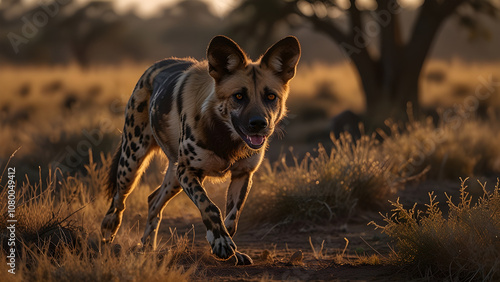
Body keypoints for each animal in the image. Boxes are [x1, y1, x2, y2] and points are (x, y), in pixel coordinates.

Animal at [99, 35, 298, 264]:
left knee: (153, 201)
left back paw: (148, 248)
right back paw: (109, 231)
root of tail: (154, 67)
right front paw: (221, 242)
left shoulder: (242, 175)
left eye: (271, 97)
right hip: (132, 161)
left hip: (173, 178)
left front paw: (228, 246)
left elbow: (232, 218)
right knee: (118, 200)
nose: (259, 124)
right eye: (239, 96)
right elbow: (210, 207)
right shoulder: (189, 172)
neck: (225, 137)